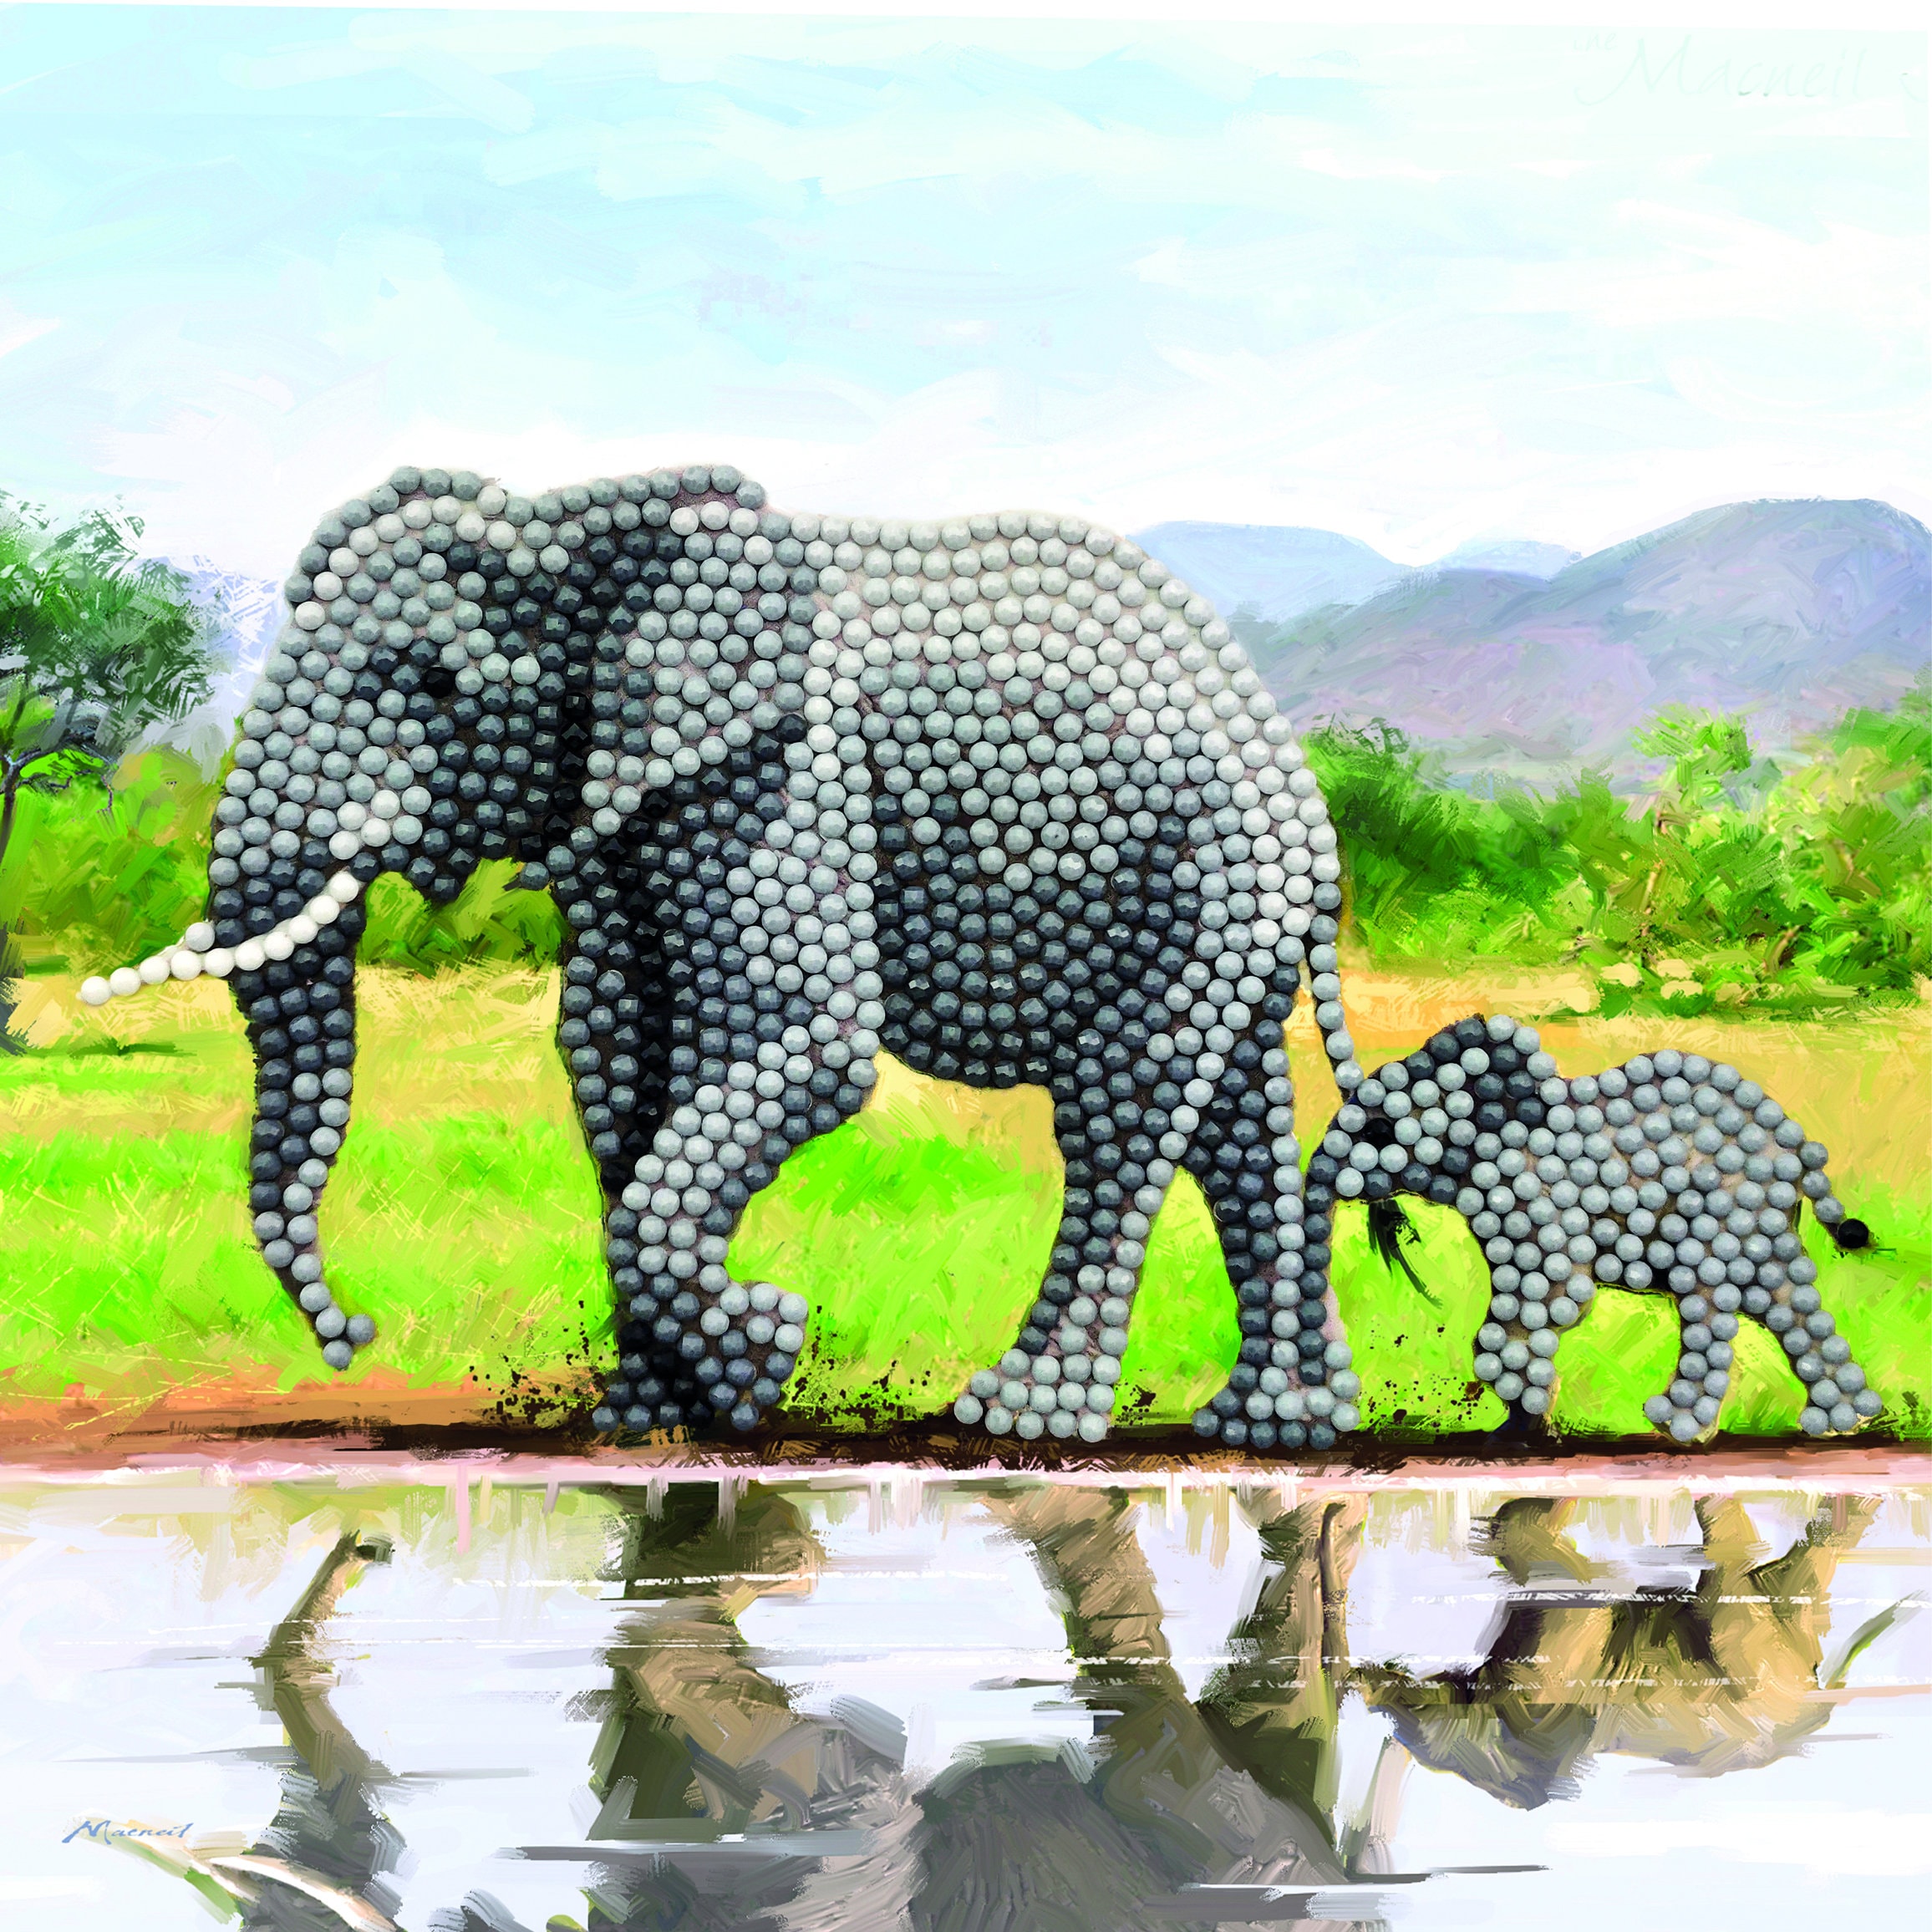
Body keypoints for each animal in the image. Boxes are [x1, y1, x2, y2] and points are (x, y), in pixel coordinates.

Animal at [79, 463, 1878, 1447]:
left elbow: (792, 1049)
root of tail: (1303, 800)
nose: (362, 1335)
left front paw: (763, 1346)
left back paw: (1022, 1413)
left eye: (438, 685)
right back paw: (1274, 1424)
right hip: (1221, 901)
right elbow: (615, 1061)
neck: (592, 520)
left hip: (1199, 880)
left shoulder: (781, 768)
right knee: (1234, 1129)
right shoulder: (634, 808)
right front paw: (654, 1413)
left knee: (1123, 1117)